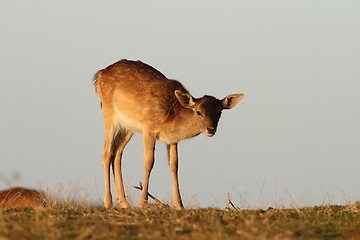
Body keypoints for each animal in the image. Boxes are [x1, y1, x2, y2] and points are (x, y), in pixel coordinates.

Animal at [93, 59, 245, 209]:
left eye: (219, 112)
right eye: (198, 112)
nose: (211, 129)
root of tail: (99, 75)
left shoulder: (172, 140)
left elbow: (174, 165)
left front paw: (179, 205)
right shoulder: (148, 128)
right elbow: (149, 161)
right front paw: (143, 203)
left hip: (128, 127)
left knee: (117, 151)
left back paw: (124, 203)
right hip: (108, 112)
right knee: (106, 152)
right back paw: (108, 202)